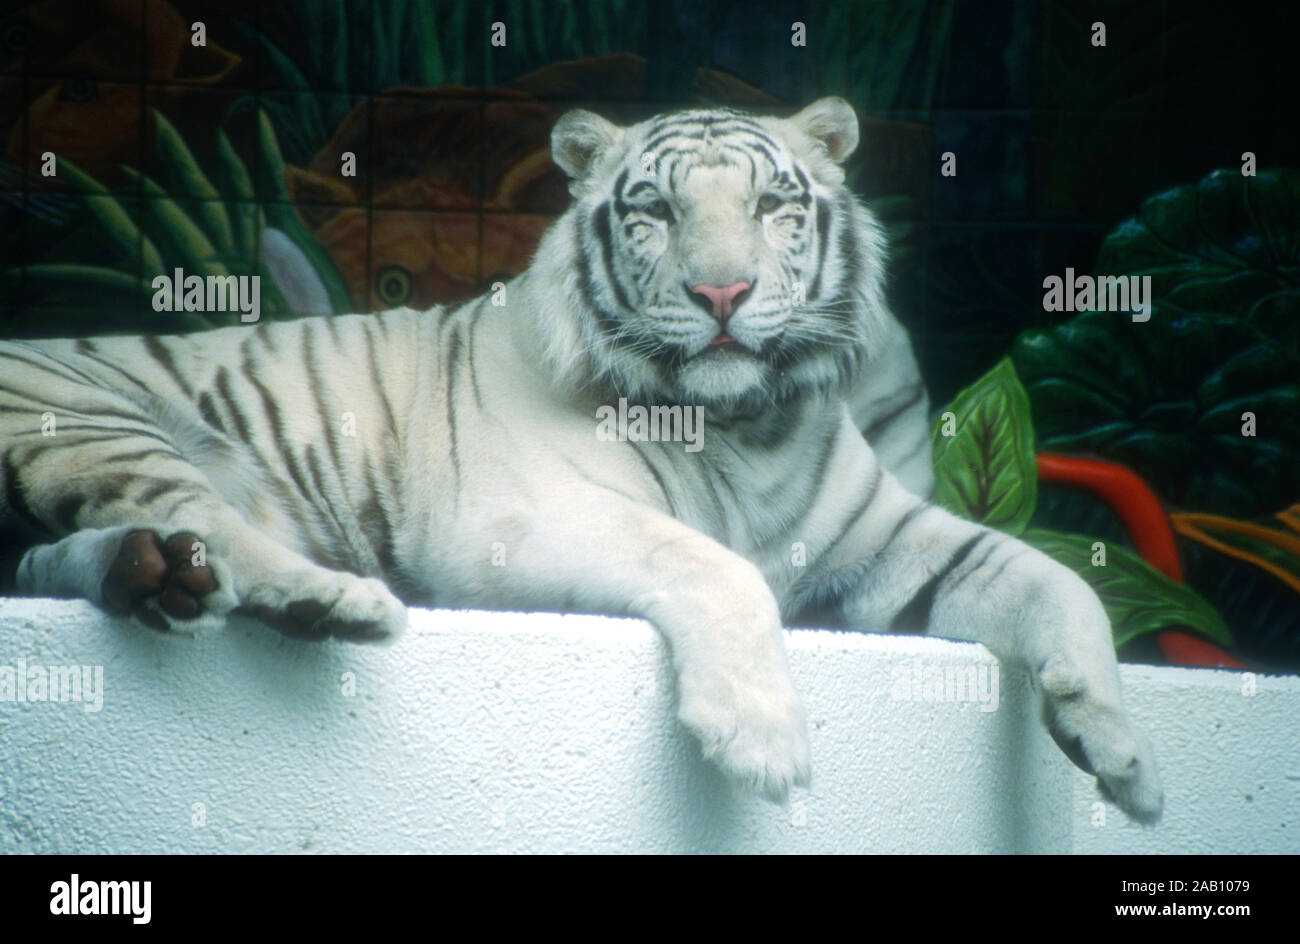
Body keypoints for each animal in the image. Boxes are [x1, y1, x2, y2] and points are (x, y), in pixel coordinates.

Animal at [0, 97, 1163, 823]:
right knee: (199, 517)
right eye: (655, 210)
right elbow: (717, 566)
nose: (723, 293)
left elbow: (1054, 581)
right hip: (95, 413)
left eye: (773, 206)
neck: (745, 425)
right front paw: (762, 740)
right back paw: (325, 601)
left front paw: (1126, 760)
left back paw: (156, 577)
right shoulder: (516, 518)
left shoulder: (892, 543)